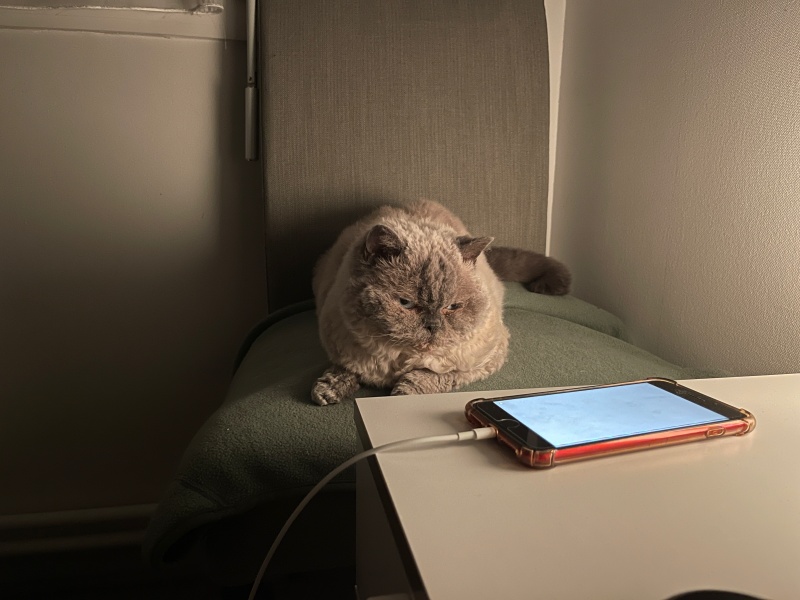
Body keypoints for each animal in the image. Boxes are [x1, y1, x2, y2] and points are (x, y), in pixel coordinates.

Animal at [311, 200, 570, 405]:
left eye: (452, 307)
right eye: (406, 303)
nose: (432, 326)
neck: (398, 362)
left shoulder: (478, 363)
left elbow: (429, 375)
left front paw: (401, 394)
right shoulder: (343, 346)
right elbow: (345, 369)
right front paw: (326, 391)